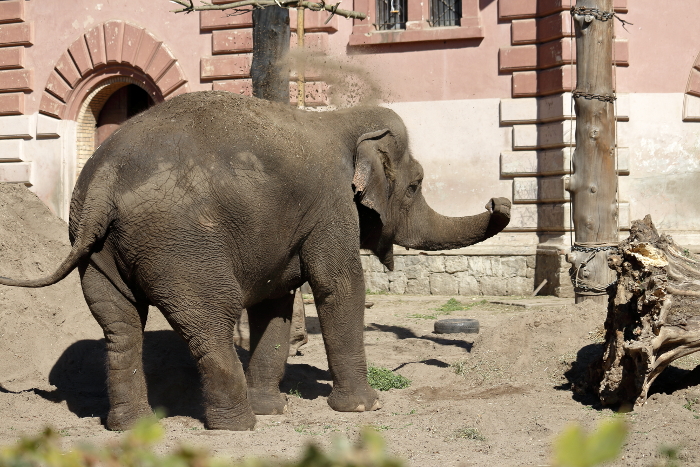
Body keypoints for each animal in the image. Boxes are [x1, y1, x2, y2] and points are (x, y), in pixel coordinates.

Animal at [0, 91, 512, 432]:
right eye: (415, 184)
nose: (498, 199)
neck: (339, 120)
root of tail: (106, 176)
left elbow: (275, 302)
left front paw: (276, 408)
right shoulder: (331, 206)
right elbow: (338, 284)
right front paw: (364, 408)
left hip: (98, 248)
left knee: (119, 325)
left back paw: (135, 427)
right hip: (185, 247)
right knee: (211, 319)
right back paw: (238, 425)